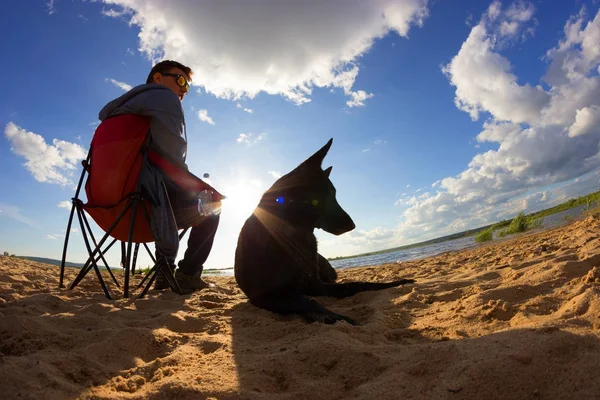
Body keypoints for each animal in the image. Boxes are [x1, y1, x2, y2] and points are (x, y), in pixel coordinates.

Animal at [233, 139, 412, 324]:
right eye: (327, 194)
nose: (352, 225)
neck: (291, 236)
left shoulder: (315, 285)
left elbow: (354, 285)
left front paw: (398, 282)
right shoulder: (264, 295)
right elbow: (307, 301)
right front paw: (339, 318)